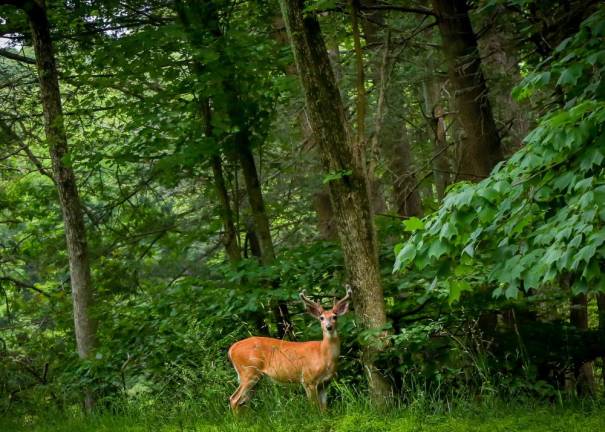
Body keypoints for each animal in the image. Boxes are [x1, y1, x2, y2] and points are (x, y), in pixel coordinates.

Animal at [228, 284, 352, 412]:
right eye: (321, 318)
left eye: (335, 317)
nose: (329, 327)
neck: (323, 355)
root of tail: (232, 349)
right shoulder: (308, 379)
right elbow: (314, 407)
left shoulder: (325, 382)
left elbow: (324, 409)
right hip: (248, 371)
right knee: (234, 399)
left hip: (256, 377)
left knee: (244, 401)